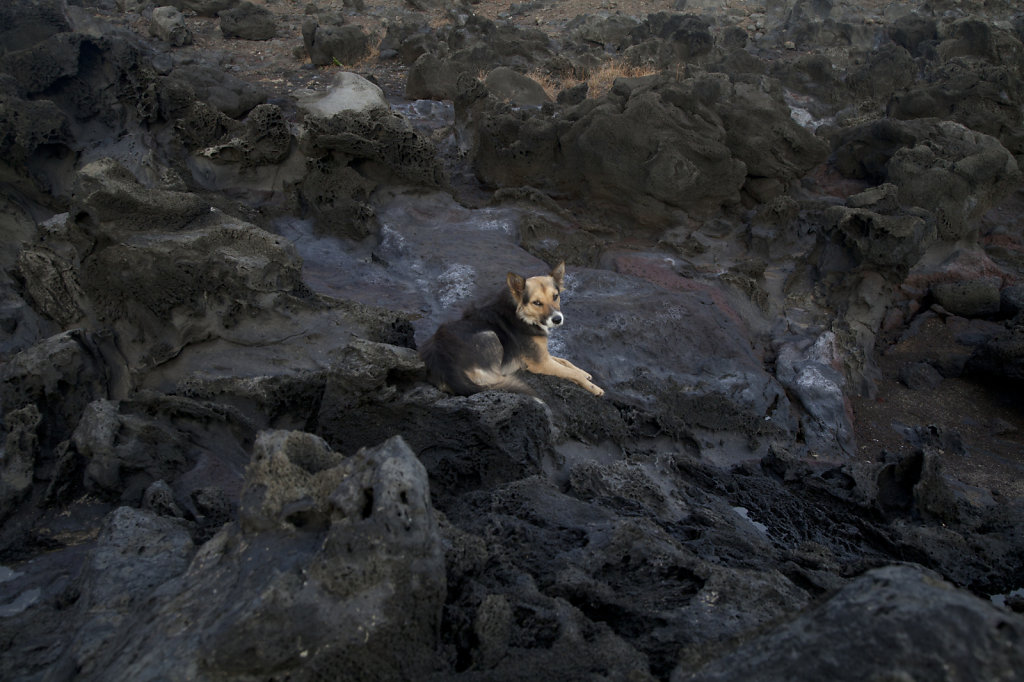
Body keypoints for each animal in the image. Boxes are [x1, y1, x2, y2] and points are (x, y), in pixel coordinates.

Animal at [417, 261, 602, 399]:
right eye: (537, 303)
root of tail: (443, 364)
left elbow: (565, 361)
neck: (522, 315)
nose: (557, 319)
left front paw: (584, 372)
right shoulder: (540, 362)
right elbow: (569, 371)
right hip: (490, 335)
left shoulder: (541, 354)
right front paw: (594, 388)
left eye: (555, 296)